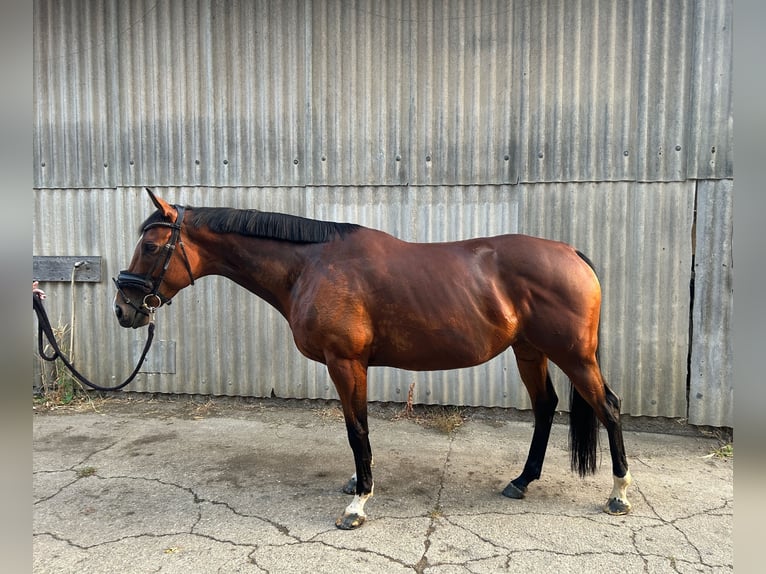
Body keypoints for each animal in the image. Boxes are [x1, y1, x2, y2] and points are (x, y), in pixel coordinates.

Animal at [113, 188, 632, 529]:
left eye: (152, 246)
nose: (124, 309)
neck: (311, 265)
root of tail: (572, 254)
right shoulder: (347, 366)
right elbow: (355, 427)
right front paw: (356, 484)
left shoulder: (346, 362)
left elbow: (356, 429)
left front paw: (358, 503)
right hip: (529, 351)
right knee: (545, 408)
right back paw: (522, 481)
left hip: (573, 356)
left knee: (607, 408)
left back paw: (619, 494)